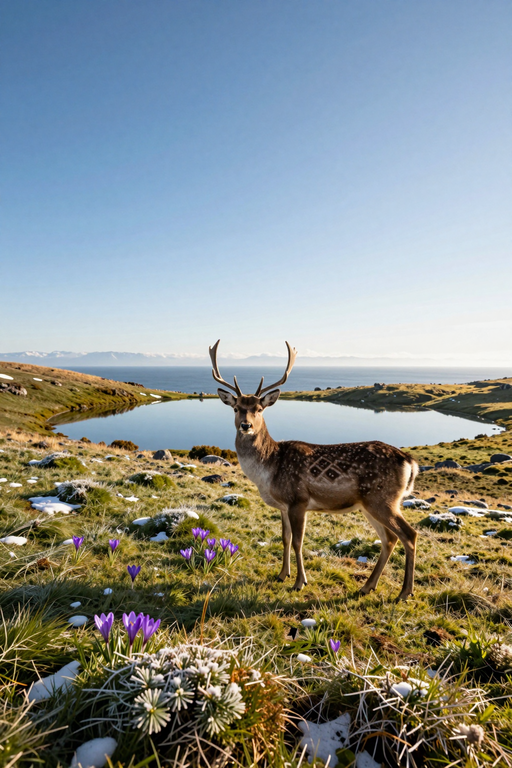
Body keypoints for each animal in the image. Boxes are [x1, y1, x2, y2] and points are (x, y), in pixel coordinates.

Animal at [209, 340, 419, 601]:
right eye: (236, 408)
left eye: (259, 408)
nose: (246, 425)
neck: (270, 468)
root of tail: (410, 462)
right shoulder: (283, 506)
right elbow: (285, 538)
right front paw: (282, 575)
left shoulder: (298, 500)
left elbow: (298, 542)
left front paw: (300, 582)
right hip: (371, 504)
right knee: (389, 539)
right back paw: (367, 586)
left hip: (383, 499)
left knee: (409, 534)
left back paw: (404, 592)